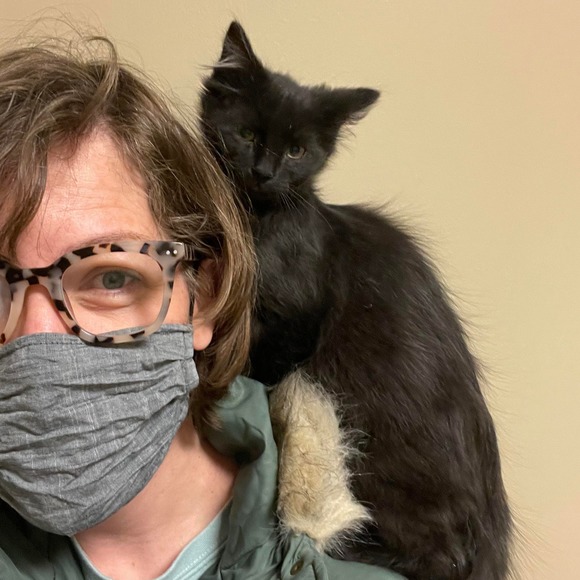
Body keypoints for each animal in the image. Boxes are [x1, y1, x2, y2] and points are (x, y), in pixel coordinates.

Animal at [200, 21, 512, 580]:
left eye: (297, 151)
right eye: (247, 134)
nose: (264, 170)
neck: (252, 219)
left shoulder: (296, 317)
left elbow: (263, 365)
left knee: (440, 557)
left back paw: (340, 546)